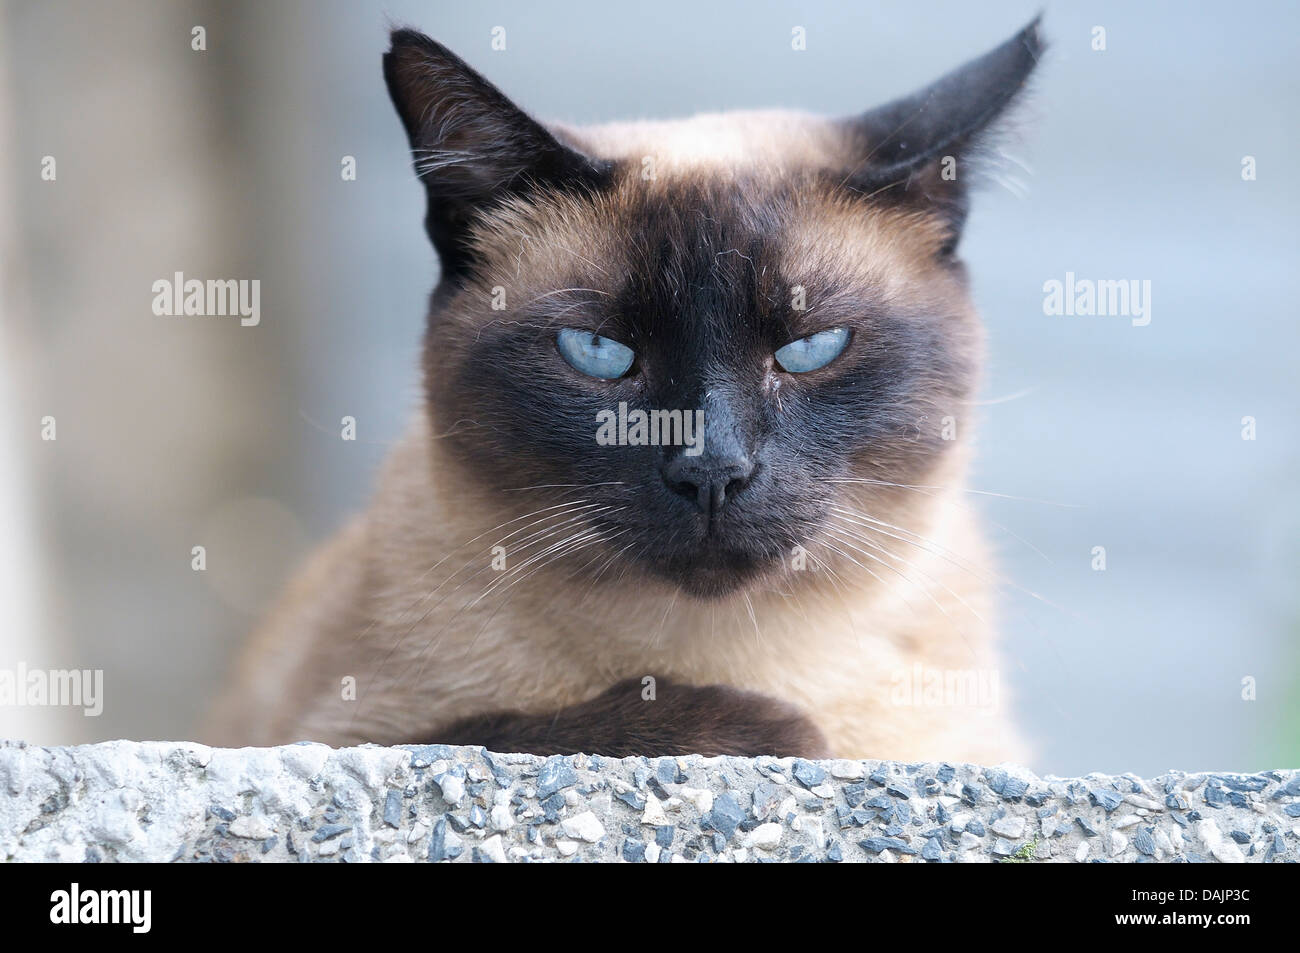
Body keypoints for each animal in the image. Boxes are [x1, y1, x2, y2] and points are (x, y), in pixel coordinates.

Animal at [210, 18, 1045, 764]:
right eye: (601, 354)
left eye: (810, 349)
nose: (711, 469)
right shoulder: (329, 734)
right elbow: (514, 728)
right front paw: (776, 736)